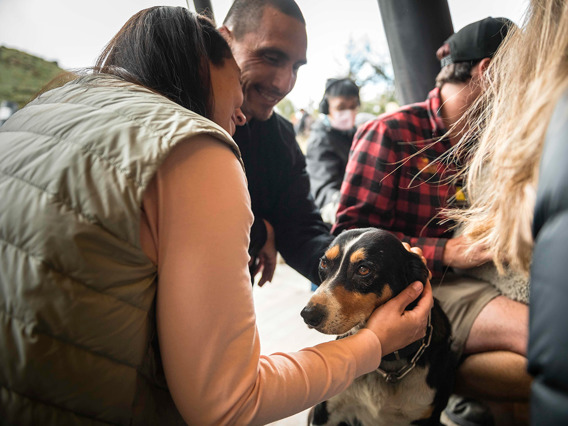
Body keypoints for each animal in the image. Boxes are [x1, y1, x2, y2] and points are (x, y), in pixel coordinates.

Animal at [302, 230, 458, 426]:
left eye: (363, 269)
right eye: (324, 263)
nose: (308, 314)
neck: (388, 364)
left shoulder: (427, 417)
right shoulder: (324, 413)